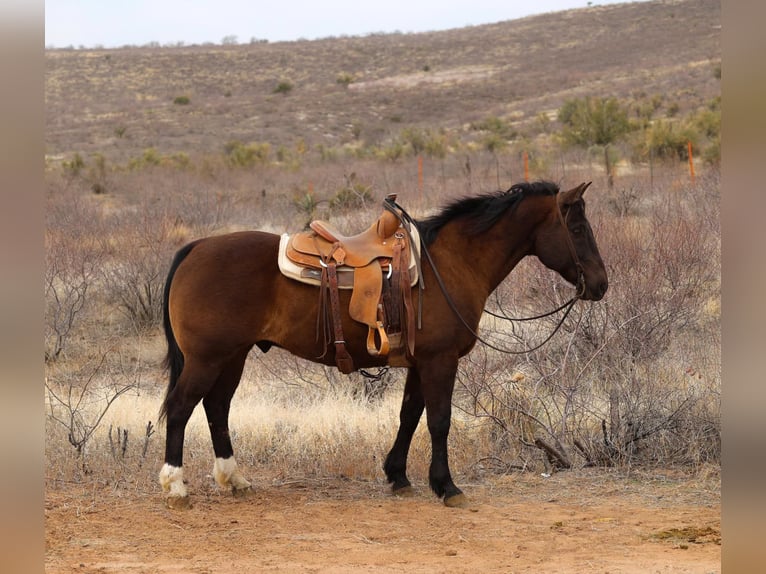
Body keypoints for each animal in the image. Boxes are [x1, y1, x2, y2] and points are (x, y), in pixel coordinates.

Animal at [158, 180, 608, 509]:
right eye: (578, 229)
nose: (601, 284)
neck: (452, 264)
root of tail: (195, 248)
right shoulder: (440, 361)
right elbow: (439, 420)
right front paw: (447, 486)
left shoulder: (419, 363)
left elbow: (409, 416)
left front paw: (399, 476)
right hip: (207, 359)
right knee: (181, 408)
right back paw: (176, 485)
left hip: (232, 357)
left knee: (217, 408)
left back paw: (233, 479)